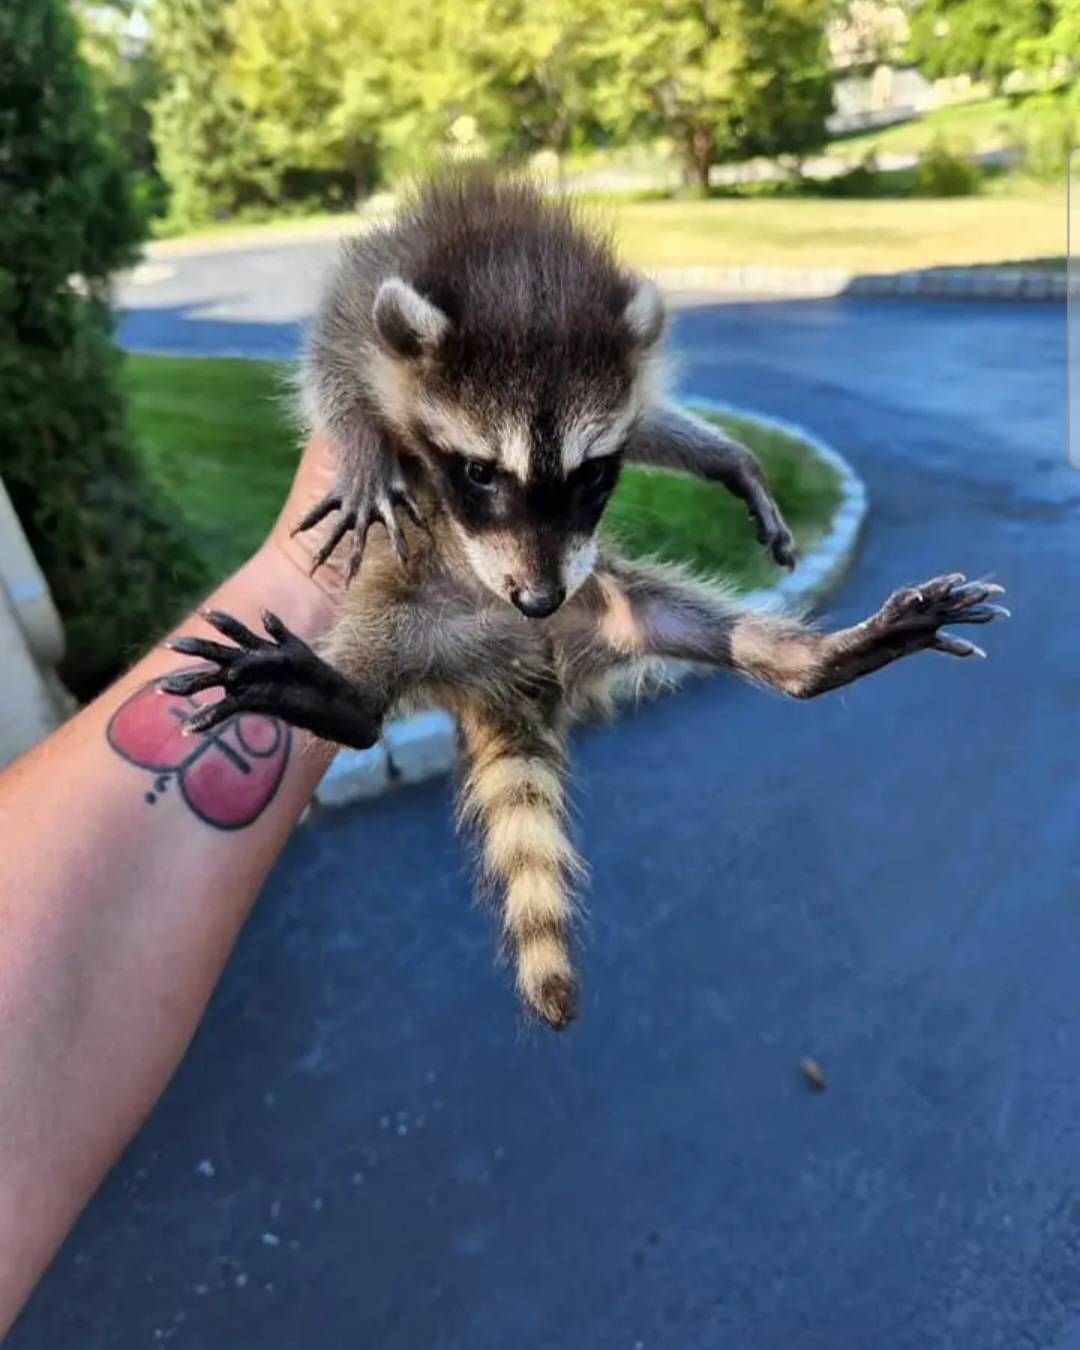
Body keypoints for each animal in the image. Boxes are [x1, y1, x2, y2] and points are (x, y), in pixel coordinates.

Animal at [164, 171, 1008, 1029]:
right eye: (479, 473)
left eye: (595, 474)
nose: (537, 598)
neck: (518, 267)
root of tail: (515, 669)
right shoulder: (362, 293)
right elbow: (329, 375)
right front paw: (367, 453)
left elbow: (653, 422)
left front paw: (726, 456)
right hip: (410, 602)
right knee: (374, 681)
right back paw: (336, 693)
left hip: (613, 601)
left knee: (706, 625)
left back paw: (814, 658)